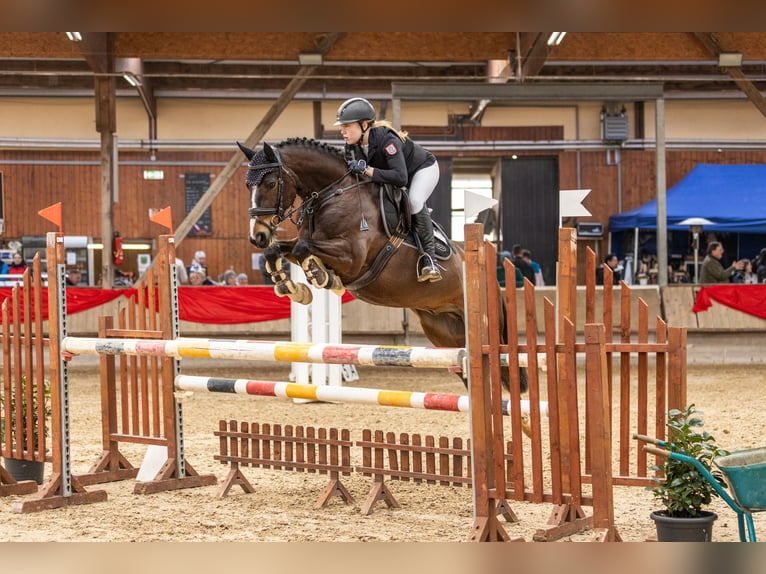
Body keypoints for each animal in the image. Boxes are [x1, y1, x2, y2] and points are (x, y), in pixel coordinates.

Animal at [238, 137, 526, 392]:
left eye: (271, 183)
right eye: (247, 186)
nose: (257, 235)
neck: (332, 195)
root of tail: (493, 278)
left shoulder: (353, 258)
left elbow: (302, 249)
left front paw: (321, 277)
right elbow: (278, 250)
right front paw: (292, 287)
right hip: (444, 331)